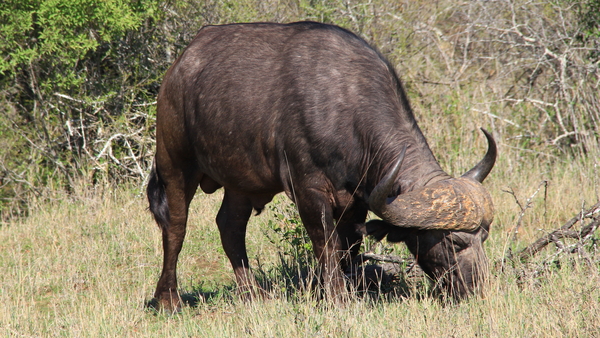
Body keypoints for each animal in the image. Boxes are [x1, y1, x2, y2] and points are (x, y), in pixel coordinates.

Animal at [146, 21, 496, 312]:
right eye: (454, 242)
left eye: (484, 236)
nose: (479, 289)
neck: (345, 107)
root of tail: (179, 67)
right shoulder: (308, 190)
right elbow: (325, 243)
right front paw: (338, 299)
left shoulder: (356, 200)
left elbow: (349, 247)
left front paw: (344, 292)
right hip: (175, 164)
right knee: (175, 226)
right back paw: (168, 299)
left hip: (240, 182)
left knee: (230, 226)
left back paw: (253, 294)